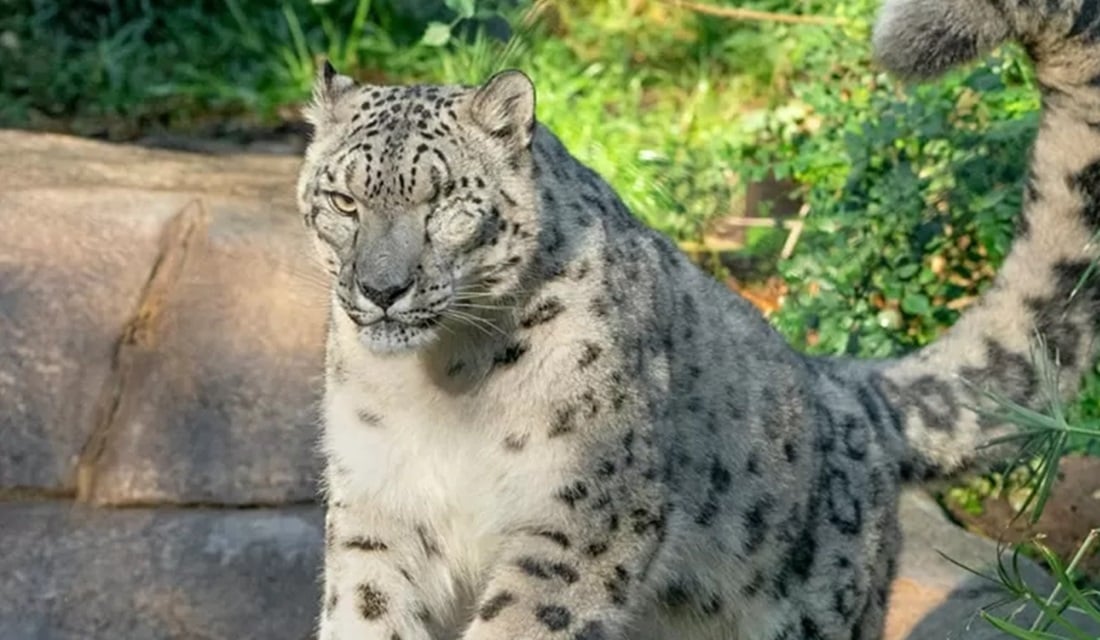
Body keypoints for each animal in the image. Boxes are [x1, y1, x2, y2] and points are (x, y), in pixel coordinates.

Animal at [294, 0, 1100, 638]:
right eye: (342, 200)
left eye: (443, 204)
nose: (382, 287)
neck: (444, 387)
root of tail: (841, 386)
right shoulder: (379, 507)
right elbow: (366, 608)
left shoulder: (583, 516)